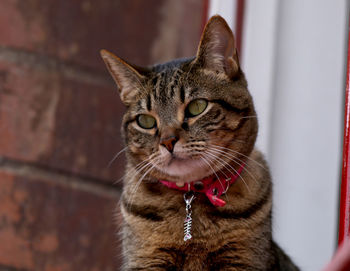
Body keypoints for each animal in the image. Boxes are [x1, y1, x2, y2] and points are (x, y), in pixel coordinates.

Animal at [100, 15, 300, 271]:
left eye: (197, 107)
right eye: (146, 121)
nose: (168, 141)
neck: (190, 199)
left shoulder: (242, 260)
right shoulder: (146, 260)